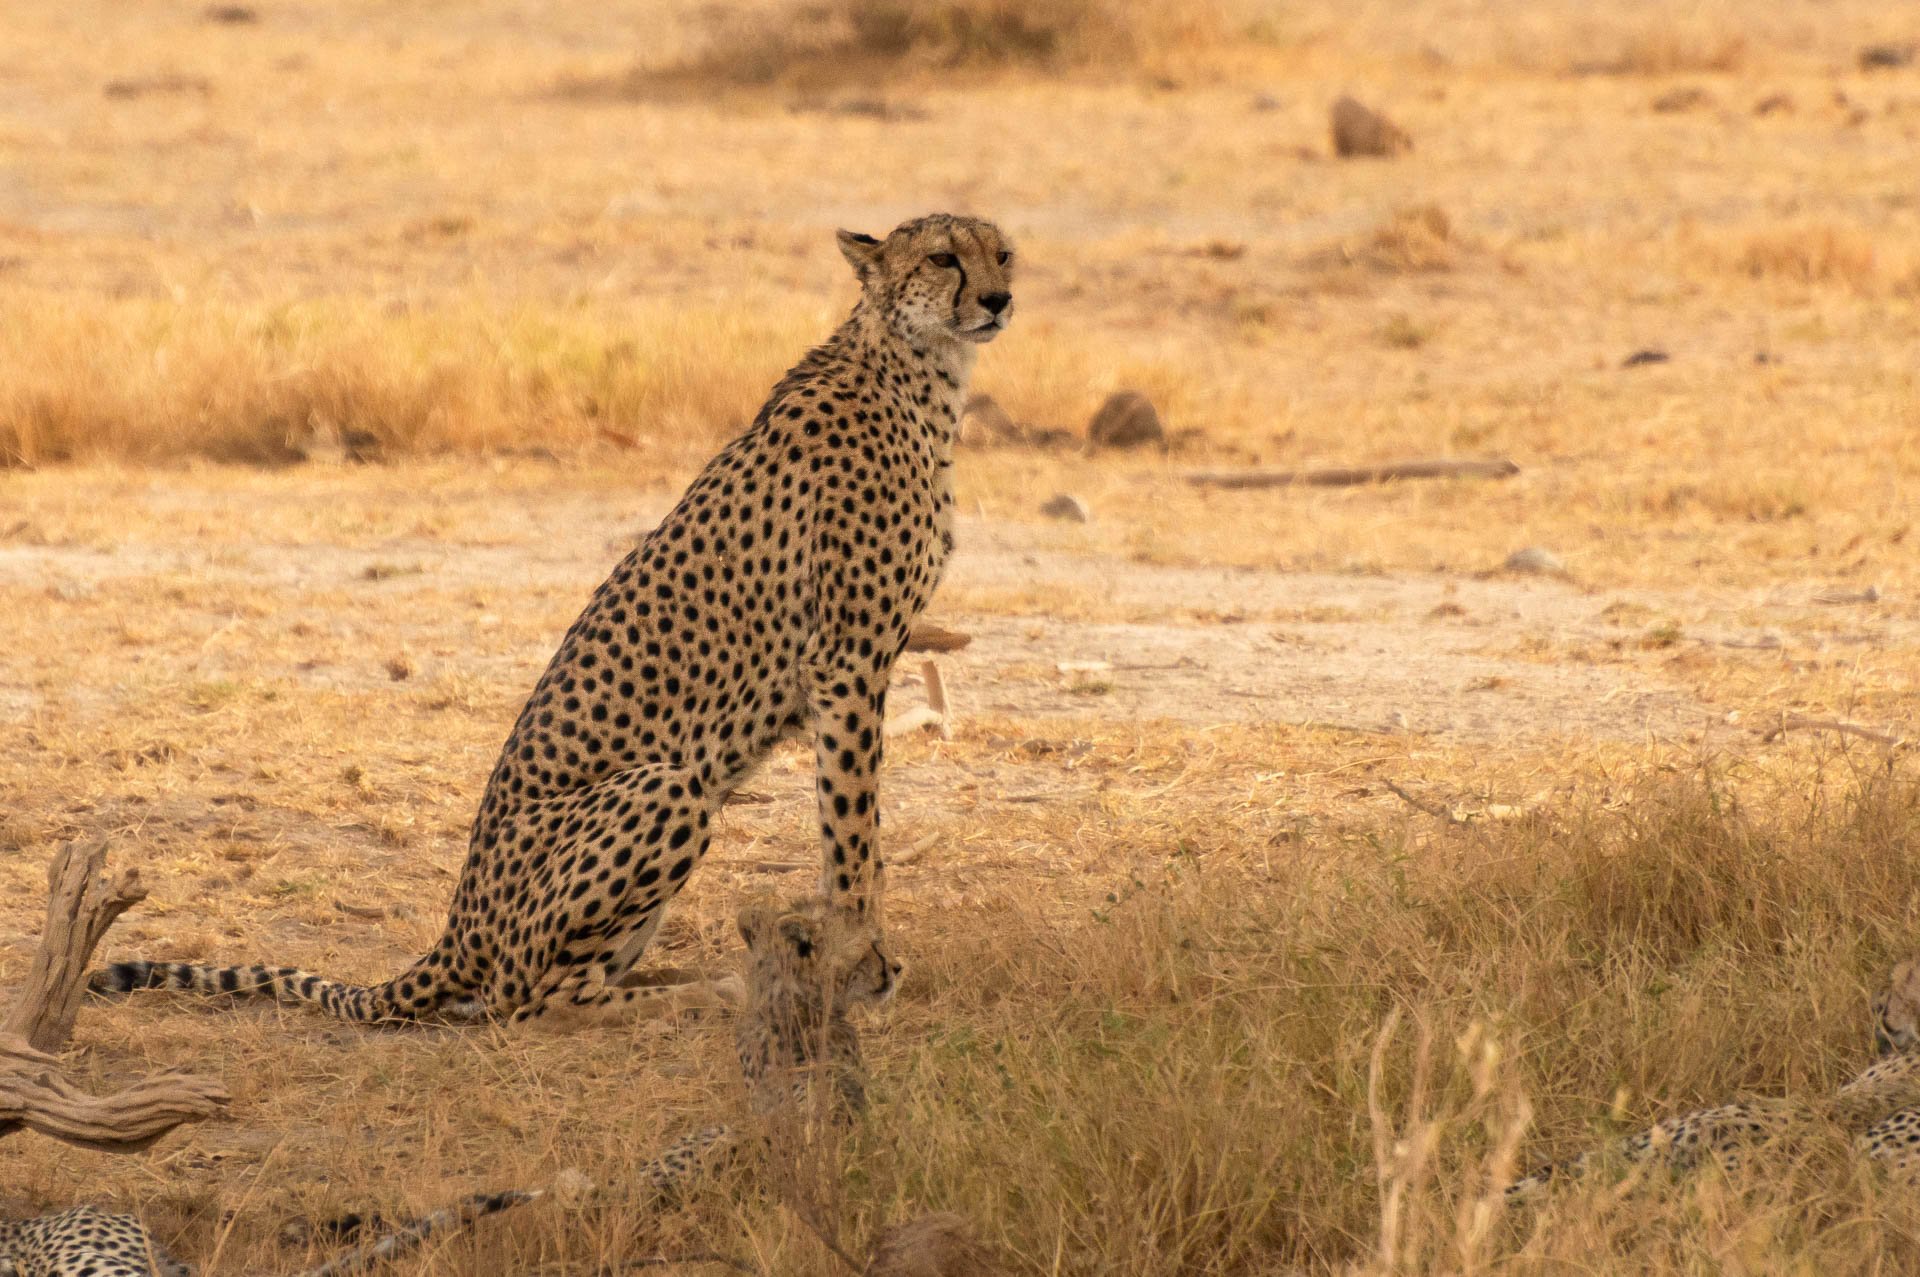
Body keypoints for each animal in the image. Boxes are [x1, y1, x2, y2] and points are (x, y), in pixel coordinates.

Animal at [86, 211, 1021, 1029]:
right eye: (942, 257)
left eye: (1003, 252)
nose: (998, 299)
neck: (916, 371)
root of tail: (457, 924)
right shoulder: (848, 661)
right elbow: (853, 830)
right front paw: (865, 962)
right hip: (669, 785)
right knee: (526, 1000)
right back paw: (704, 991)